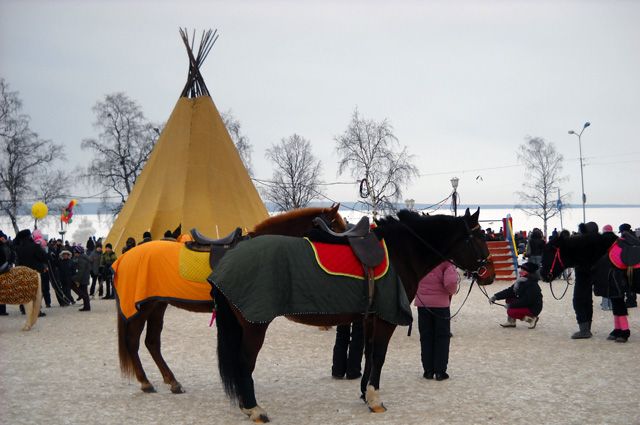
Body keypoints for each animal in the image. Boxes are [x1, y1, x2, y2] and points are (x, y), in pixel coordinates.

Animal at [115, 204, 344, 392]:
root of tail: (125, 257)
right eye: (336, 227)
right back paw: (145, 382)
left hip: (158, 305)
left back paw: (172, 381)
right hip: (143, 308)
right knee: (133, 341)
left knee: (152, 342)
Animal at [212, 206, 498, 420]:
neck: (401, 252)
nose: (490, 274)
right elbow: (379, 355)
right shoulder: (386, 318)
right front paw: (374, 398)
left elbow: (369, 354)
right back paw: (254, 409)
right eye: (480, 238)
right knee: (245, 362)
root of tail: (229, 258)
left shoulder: (370, 317)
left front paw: (364, 394)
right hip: (254, 324)